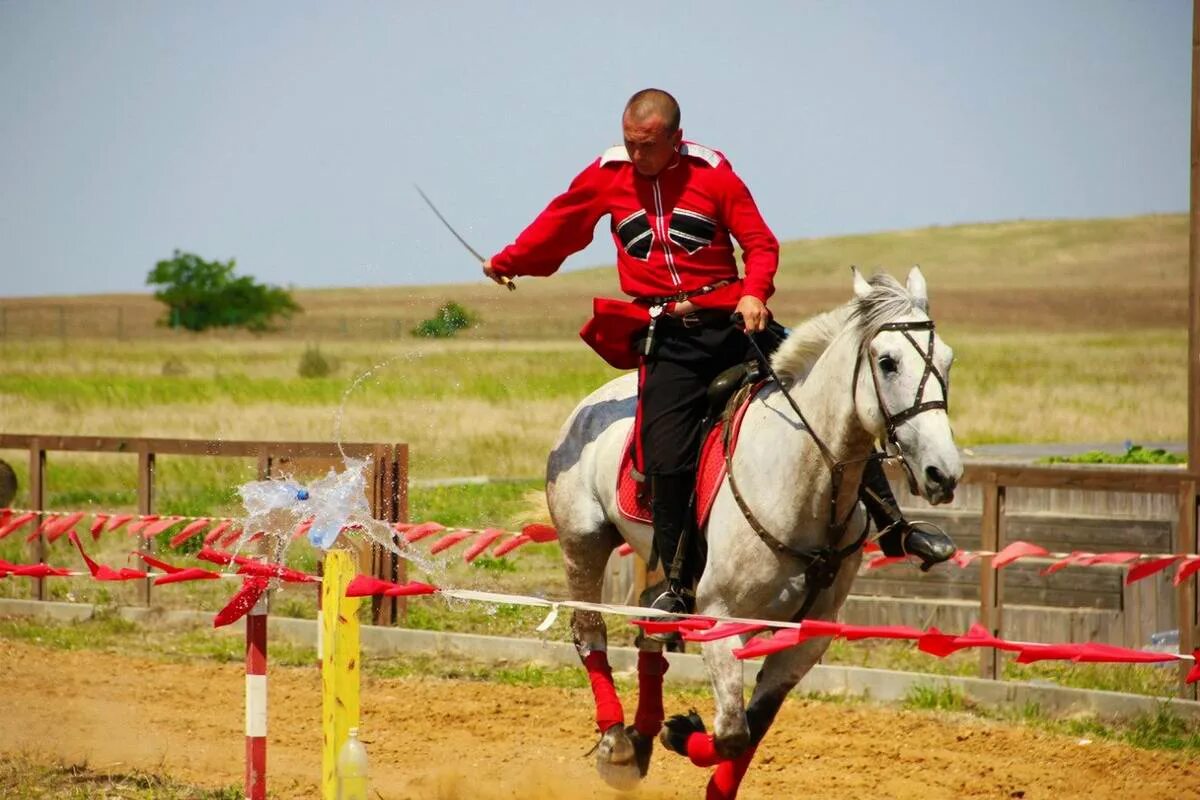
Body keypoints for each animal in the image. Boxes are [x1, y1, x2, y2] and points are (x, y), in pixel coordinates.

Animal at [549, 267, 960, 796]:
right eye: (888, 363)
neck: (803, 482)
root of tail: (593, 405)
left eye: (947, 360)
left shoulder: (806, 638)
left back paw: (640, 736)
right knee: (589, 630)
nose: (942, 473)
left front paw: (687, 748)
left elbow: (753, 728)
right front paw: (681, 732)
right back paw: (616, 744)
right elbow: (730, 732)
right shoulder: (721, 620)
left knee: (650, 628)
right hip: (583, 542)